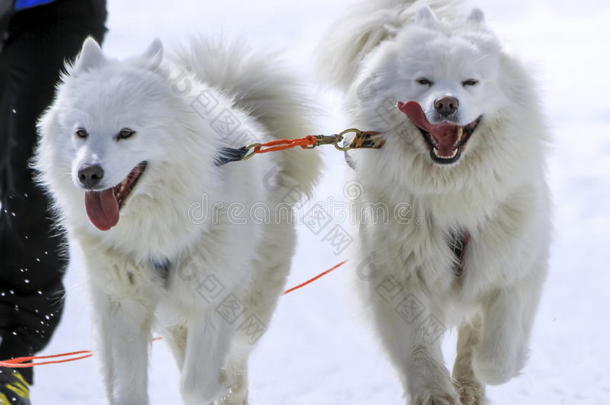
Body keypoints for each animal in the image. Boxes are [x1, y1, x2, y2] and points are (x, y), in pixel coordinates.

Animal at [33, 36, 320, 402]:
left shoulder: (214, 296)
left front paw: (219, 382)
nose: (88, 174)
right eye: (80, 132)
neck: (155, 225)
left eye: (126, 133)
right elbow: (127, 388)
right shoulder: (123, 302)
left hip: (252, 301)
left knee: (237, 357)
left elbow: (196, 384)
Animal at [318, 0, 552, 404]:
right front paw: (435, 393)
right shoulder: (398, 273)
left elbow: (498, 347)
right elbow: (419, 348)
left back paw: (471, 384)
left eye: (470, 82)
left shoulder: (513, 263)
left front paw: (488, 369)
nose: (446, 102)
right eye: (423, 81)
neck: (451, 190)